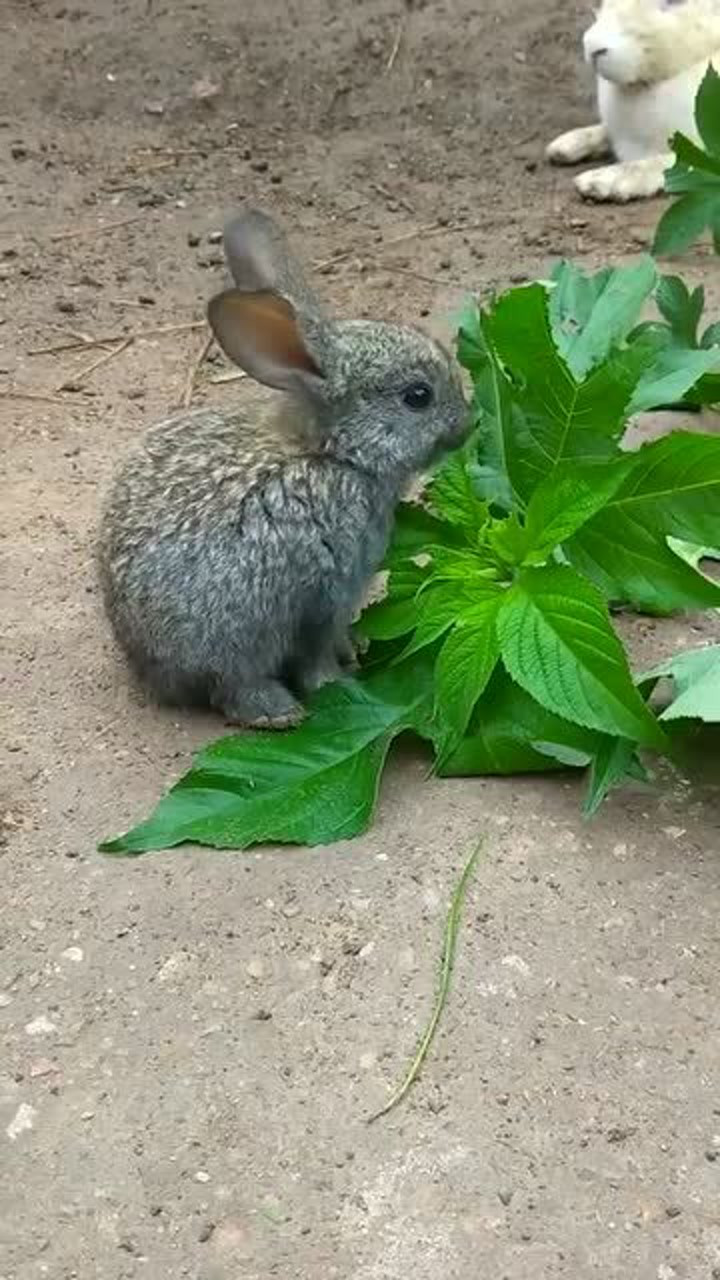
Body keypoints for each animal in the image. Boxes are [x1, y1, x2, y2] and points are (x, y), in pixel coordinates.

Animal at [98, 211, 468, 732]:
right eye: (418, 397)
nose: (467, 425)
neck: (333, 454)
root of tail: (149, 665)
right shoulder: (325, 593)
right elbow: (315, 654)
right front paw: (337, 682)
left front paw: (354, 651)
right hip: (240, 635)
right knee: (234, 687)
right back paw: (280, 713)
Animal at [543, 0, 717, 200]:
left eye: (675, 2)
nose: (592, 46)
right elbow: (601, 132)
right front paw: (563, 146)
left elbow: (655, 165)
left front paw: (599, 182)